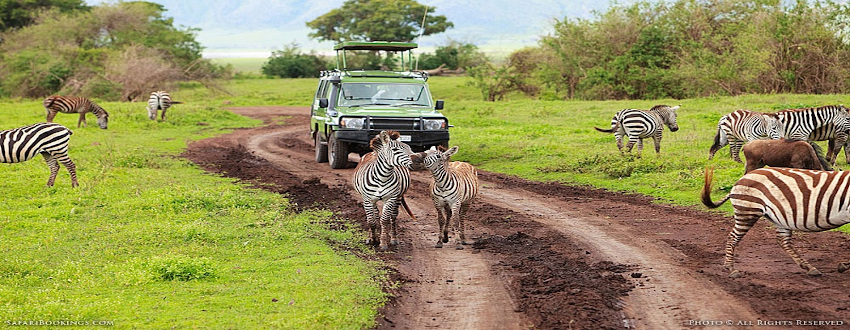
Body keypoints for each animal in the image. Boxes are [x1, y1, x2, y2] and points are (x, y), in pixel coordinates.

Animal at [704, 166, 850, 278]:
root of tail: (741, 179)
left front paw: (844, 266)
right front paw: (844, 265)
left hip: (779, 219)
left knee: (783, 241)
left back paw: (809, 267)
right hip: (748, 211)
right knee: (732, 237)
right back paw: (730, 268)